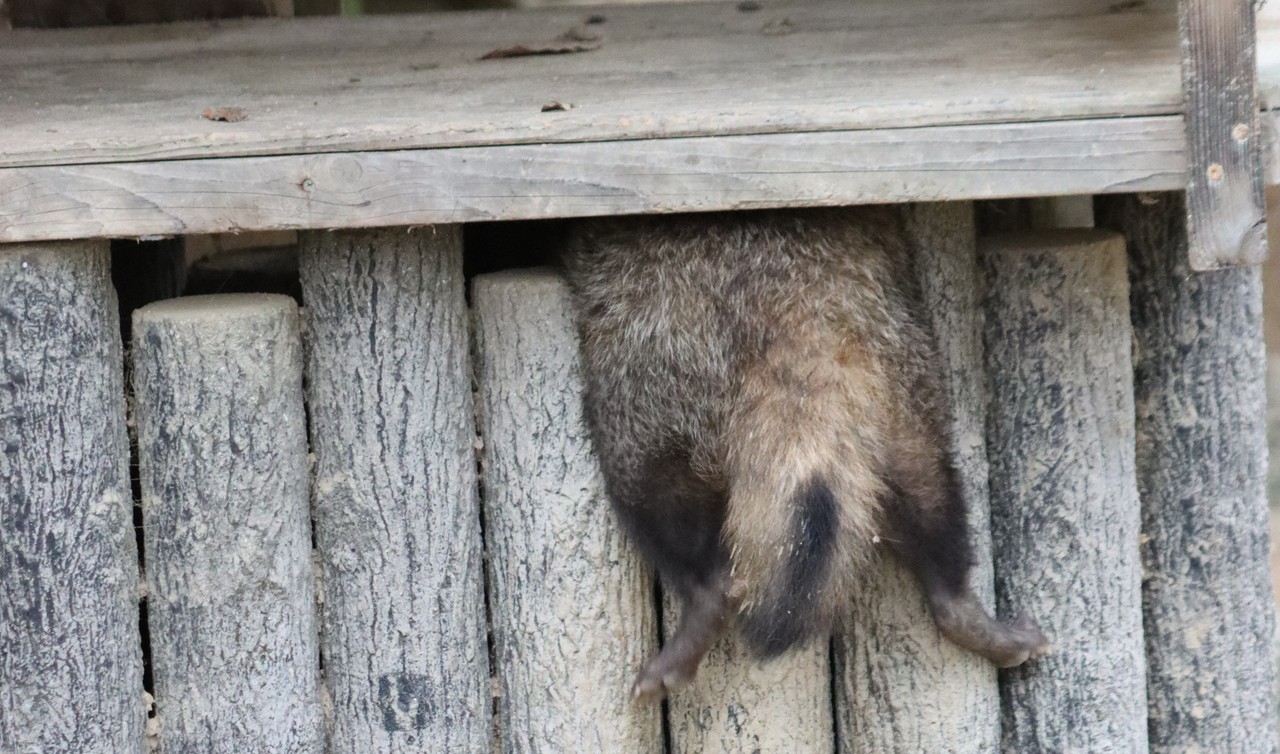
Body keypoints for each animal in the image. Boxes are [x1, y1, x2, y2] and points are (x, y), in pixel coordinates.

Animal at [563, 206, 1050, 700]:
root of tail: (803, 315)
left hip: (655, 373)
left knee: (651, 489)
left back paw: (702, 605)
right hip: (905, 380)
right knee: (929, 493)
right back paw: (960, 603)